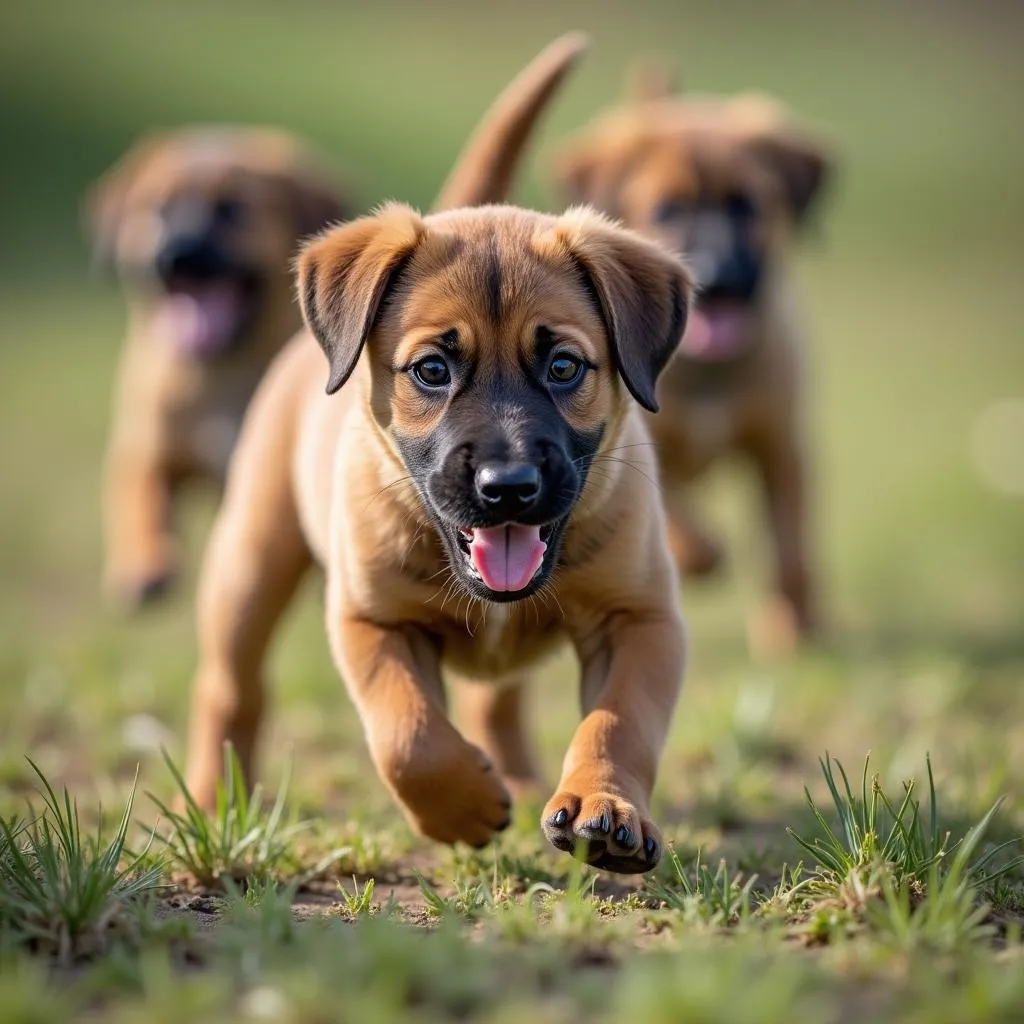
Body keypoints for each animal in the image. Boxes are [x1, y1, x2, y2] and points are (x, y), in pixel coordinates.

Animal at [84, 128, 348, 606]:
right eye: (157, 208)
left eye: (232, 209)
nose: (178, 254)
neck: (221, 369)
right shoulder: (146, 447)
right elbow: (141, 498)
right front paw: (145, 564)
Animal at [552, 68, 831, 651]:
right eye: (668, 209)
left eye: (746, 205)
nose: (718, 275)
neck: (708, 372)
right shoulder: (632, 440)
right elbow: (680, 517)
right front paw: (702, 554)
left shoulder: (781, 446)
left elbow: (789, 548)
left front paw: (793, 625)